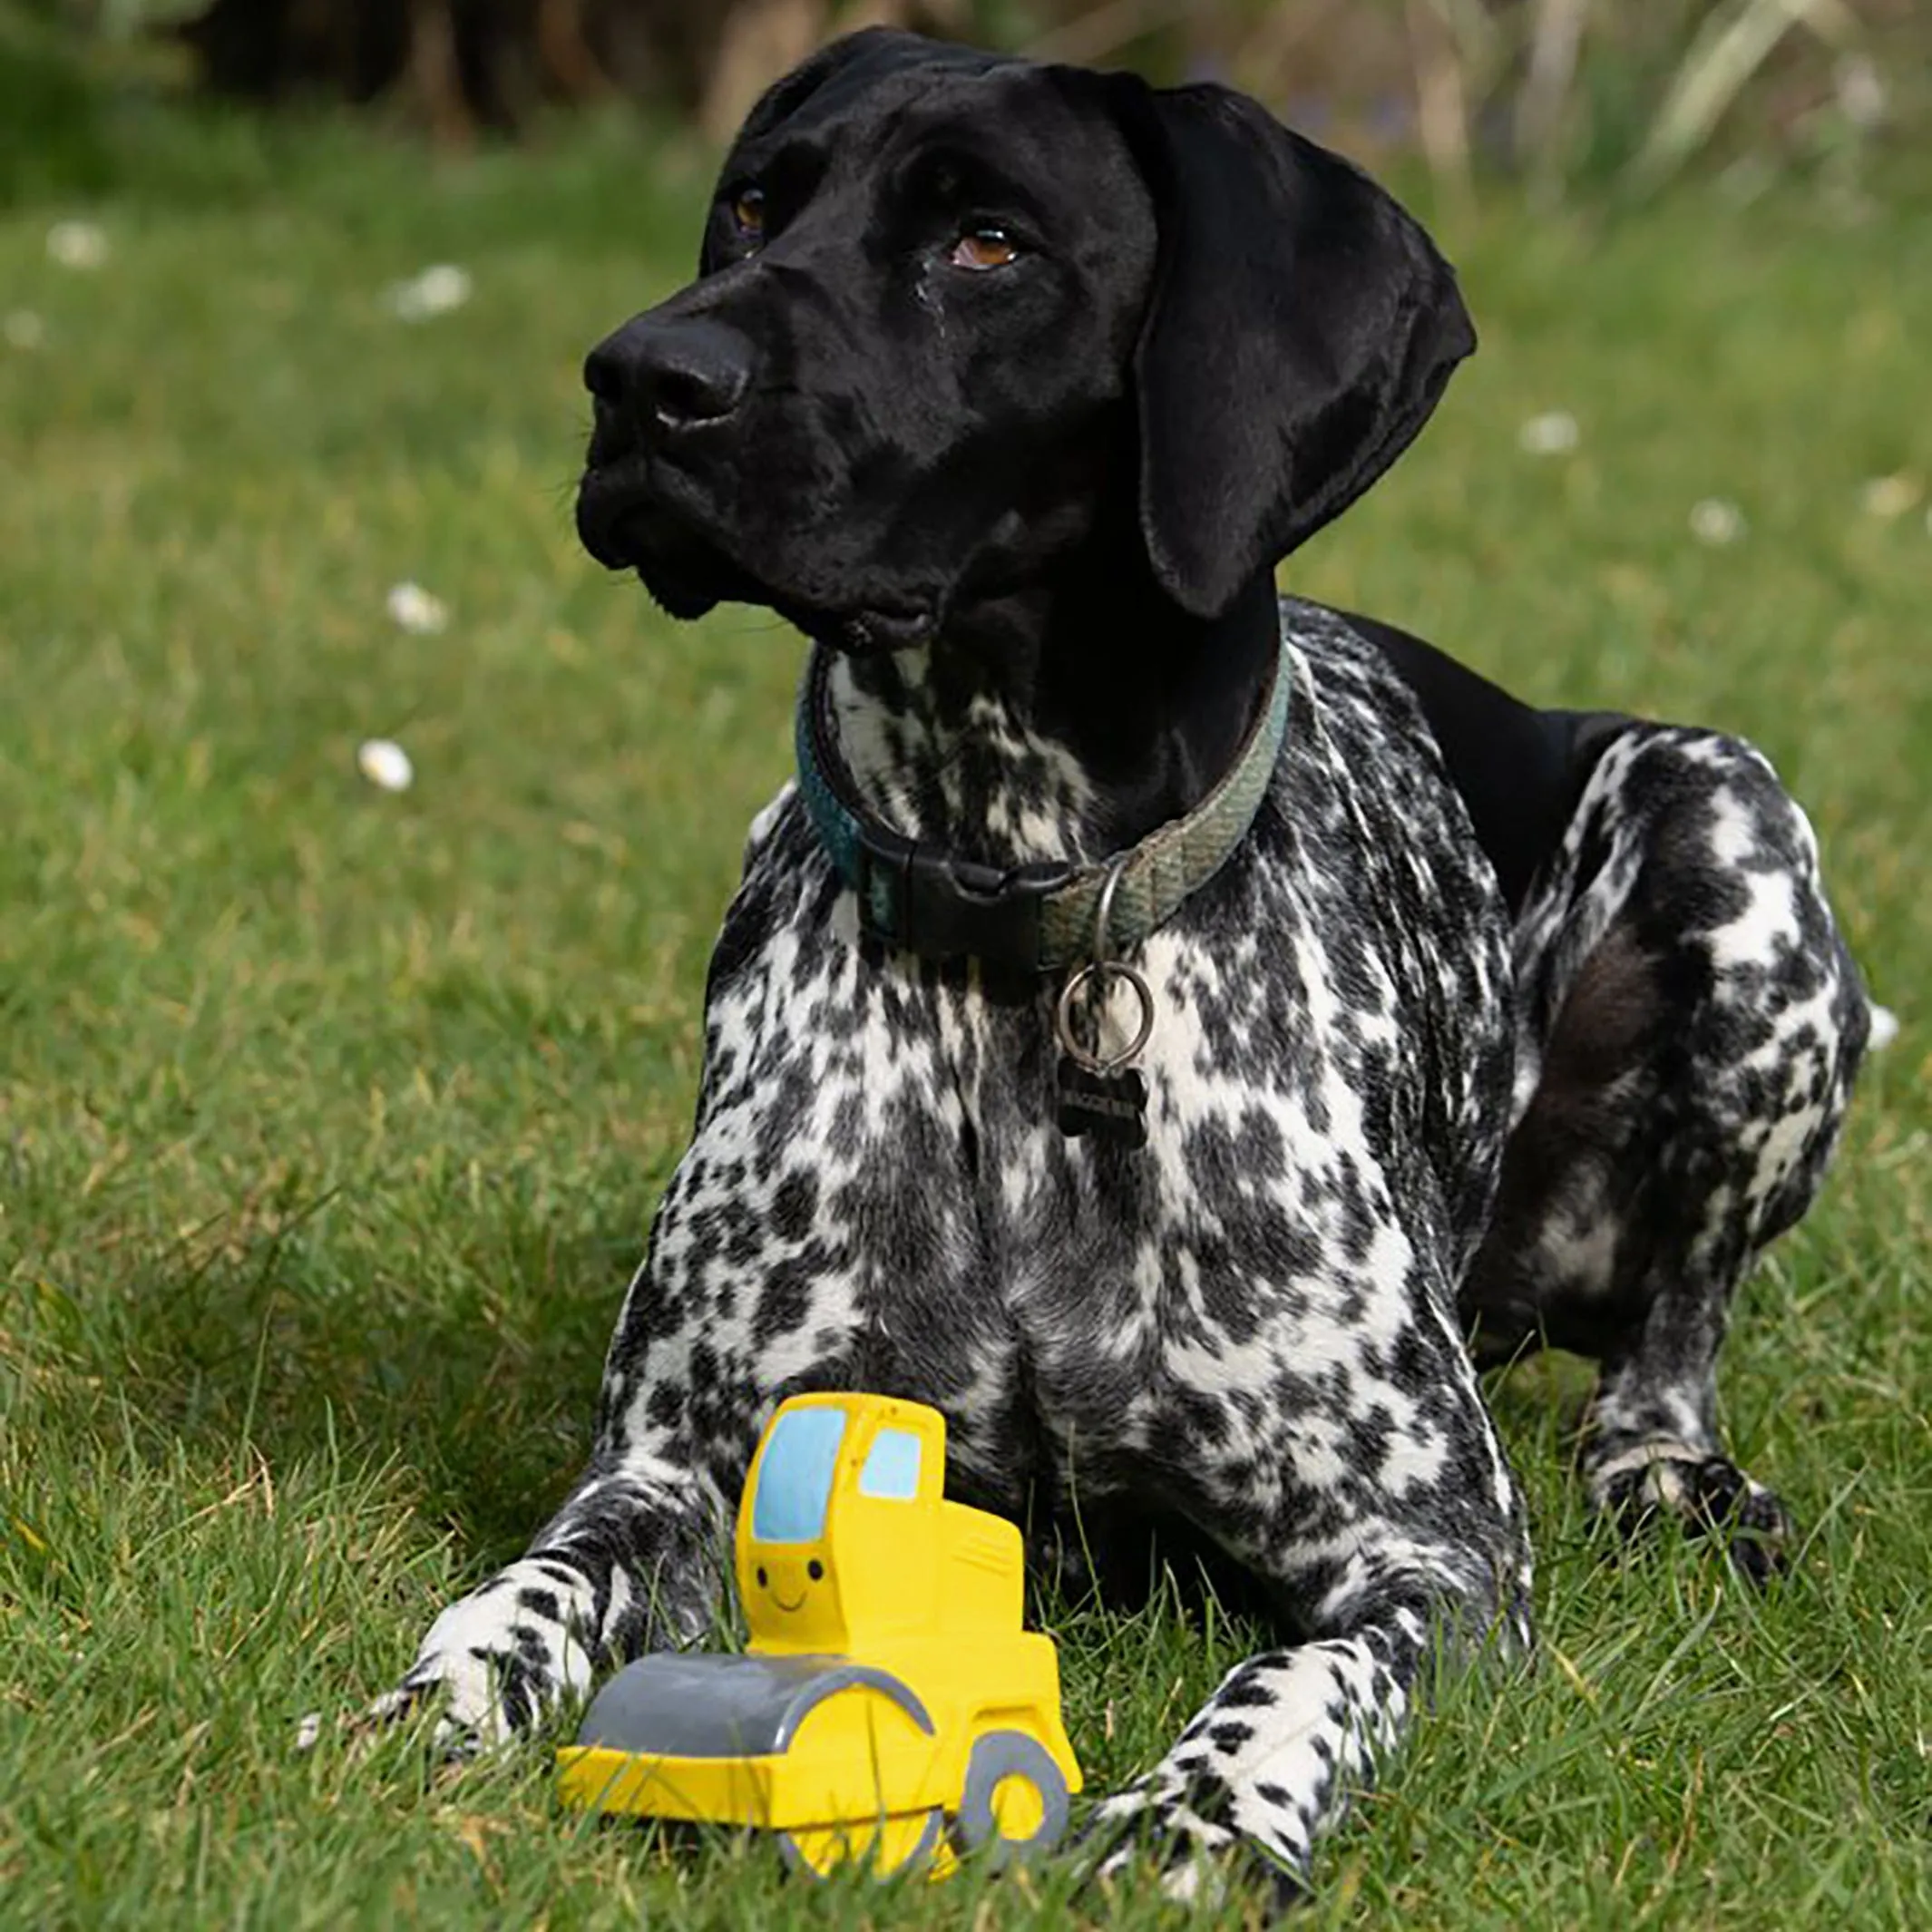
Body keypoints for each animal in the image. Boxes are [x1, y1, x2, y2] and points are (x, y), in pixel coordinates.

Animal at [373, 30, 1869, 1900]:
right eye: (756, 205)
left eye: (989, 243)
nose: (645, 375)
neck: (1026, 925)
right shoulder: (679, 1468)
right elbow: (533, 1584)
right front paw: (432, 1704)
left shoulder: (1434, 1553)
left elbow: (1299, 1673)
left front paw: (1201, 1809)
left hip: (1732, 831)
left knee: (1677, 1325)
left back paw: (1668, 1472)